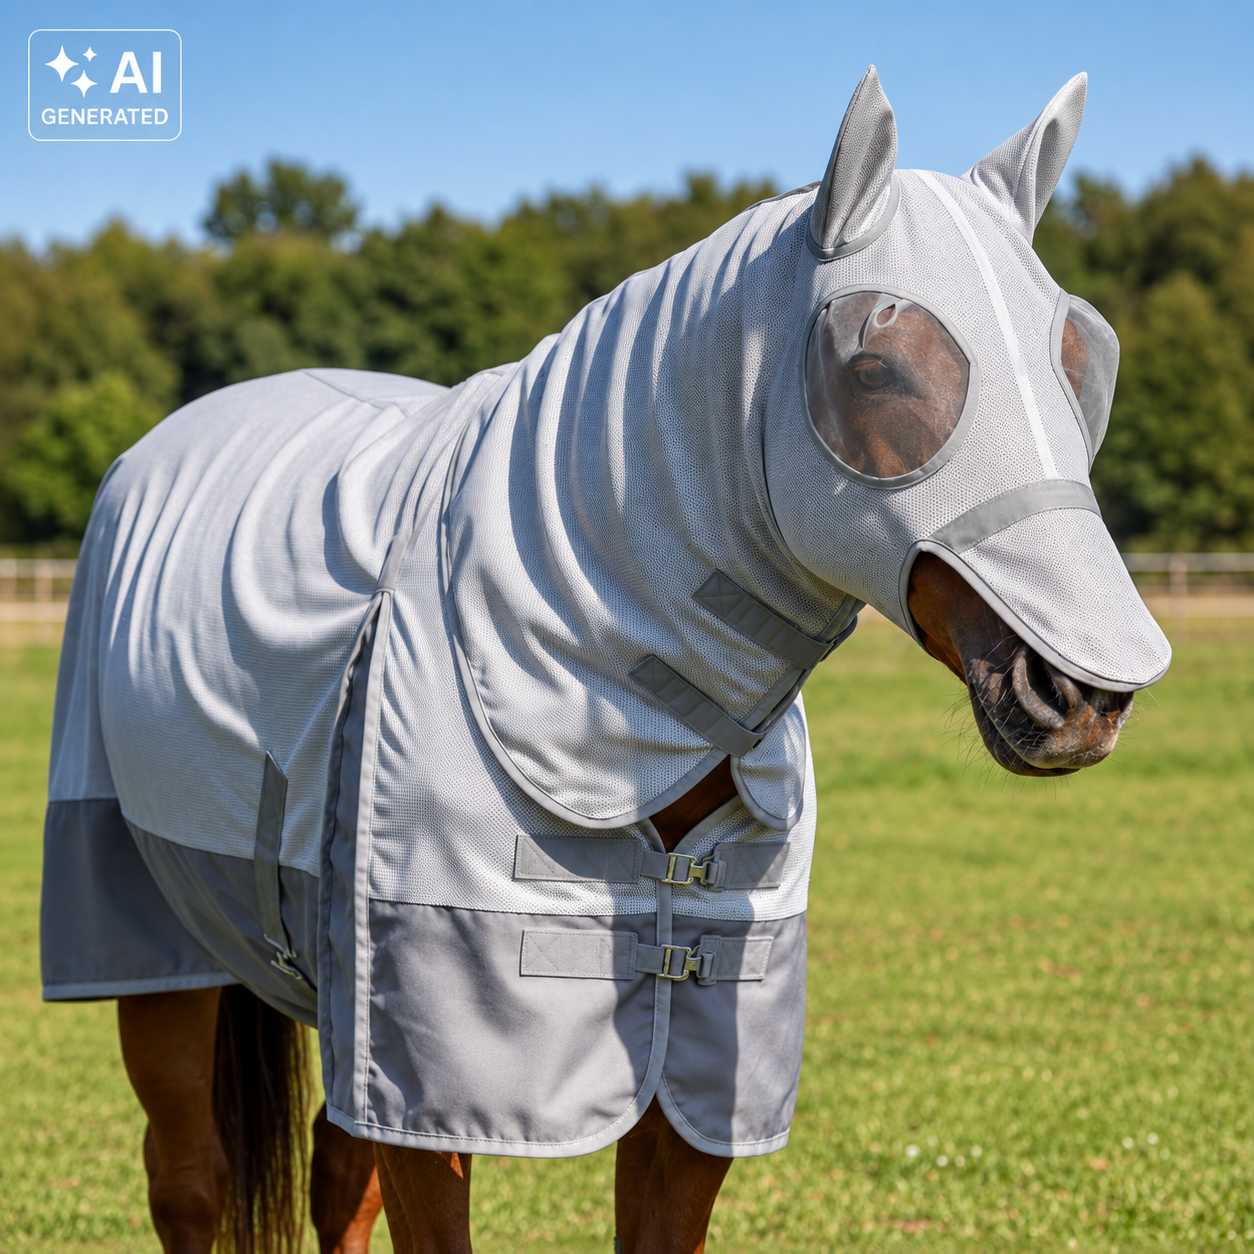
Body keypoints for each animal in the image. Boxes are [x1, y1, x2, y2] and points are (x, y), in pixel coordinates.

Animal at [40, 66, 1170, 1253]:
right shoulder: (434, 1087)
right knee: (190, 1179)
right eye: (872, 367)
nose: (1079, 694)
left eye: (1083, 362)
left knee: (332, 1174)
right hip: (154, 952)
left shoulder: (690, 1083)